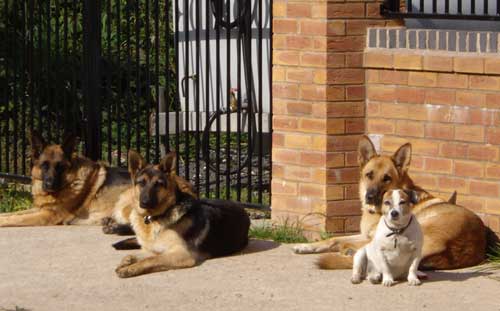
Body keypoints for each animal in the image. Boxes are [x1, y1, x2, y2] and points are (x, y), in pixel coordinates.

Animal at [0, 132, 131, 227]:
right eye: (44, 165)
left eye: (60, 167)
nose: (49, 184)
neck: (71, 182)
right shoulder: (40, 209)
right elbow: (12, 214)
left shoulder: (47, 215)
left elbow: (17, 218)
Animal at [113, 151, 250, 278]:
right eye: (141, 183)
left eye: (158, 184)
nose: (145, 202)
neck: (154, 218)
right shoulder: (154, 249)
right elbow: (133, 255)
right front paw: (127, 262)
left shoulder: (182, 254)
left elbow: (151, 259)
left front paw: (130, 268)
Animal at [292, 136, 488, 270]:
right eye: (369, 175)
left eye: (386, 178)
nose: (369, 196)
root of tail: (457, 248)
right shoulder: (365, 234)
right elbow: (332, 239)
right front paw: (305, 246)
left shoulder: (373, 237)